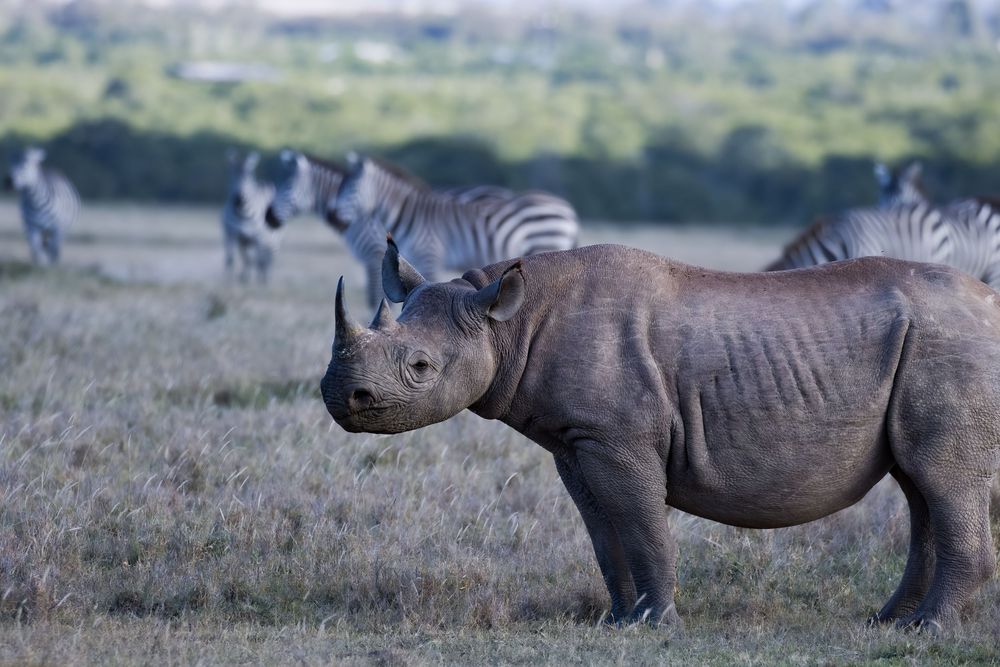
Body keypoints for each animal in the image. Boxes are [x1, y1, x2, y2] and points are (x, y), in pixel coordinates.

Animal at [222, 150, 279, 284]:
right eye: (232, 174)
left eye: (249, 175)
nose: (238, 200)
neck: (242, 214)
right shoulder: (231, 234)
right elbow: (230, 259)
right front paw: (229, 281)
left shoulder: (258, 236)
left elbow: (259, 261)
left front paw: (257, 283)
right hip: (245, 242)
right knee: (249, 260)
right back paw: (246, 278)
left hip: (272, 239)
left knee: (269, 259)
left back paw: (267, 281)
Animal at [321, 239, 1000, 632]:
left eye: (420, 367)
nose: (339, 397)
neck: (503, 321)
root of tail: (990, 304)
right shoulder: (577, 441)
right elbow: (605, 531)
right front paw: (619, 622)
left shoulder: (616, 438)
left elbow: (642, 523)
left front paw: (658, 625)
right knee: (921, 487)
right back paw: (887, 624)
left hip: (950, 343)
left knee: (941, 478)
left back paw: (927, 632)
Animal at [333, 154, 579, 308]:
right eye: (340, 186)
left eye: (351, 188)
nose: (334, 214)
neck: (410, 214)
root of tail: (566, 209)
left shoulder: (429, 253)